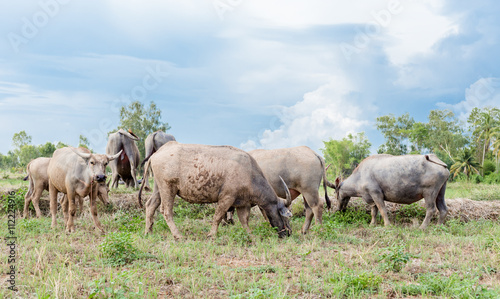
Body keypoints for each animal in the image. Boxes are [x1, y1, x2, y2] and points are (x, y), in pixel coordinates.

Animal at [138, 142, 292, 239]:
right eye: (284, 215)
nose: (288, 233)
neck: (250, 173)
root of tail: (157, 153)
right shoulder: (226, 198)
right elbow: (217, 217)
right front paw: (212, 235)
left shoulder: (242, 204)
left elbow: (244, 221)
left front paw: (250, 235)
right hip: (168, 188)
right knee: (166, 211)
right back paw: (178, 235)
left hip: (158, 189)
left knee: (150, 205)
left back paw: (148, 232)